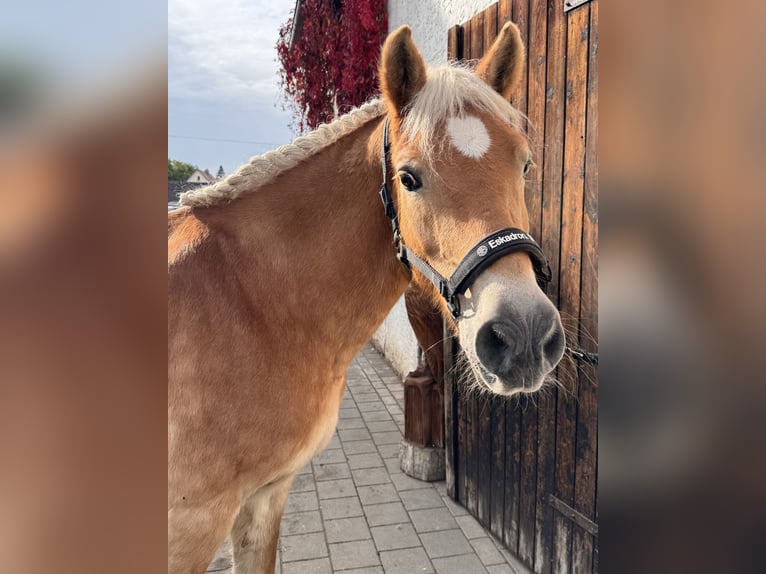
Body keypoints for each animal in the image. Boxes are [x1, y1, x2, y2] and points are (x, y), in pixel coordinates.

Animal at [170, 22, 564, 574]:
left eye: (525, 165)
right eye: (408, 178)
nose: (523, 335)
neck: (248, 300)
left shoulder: (265, 498)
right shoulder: (192, 526)